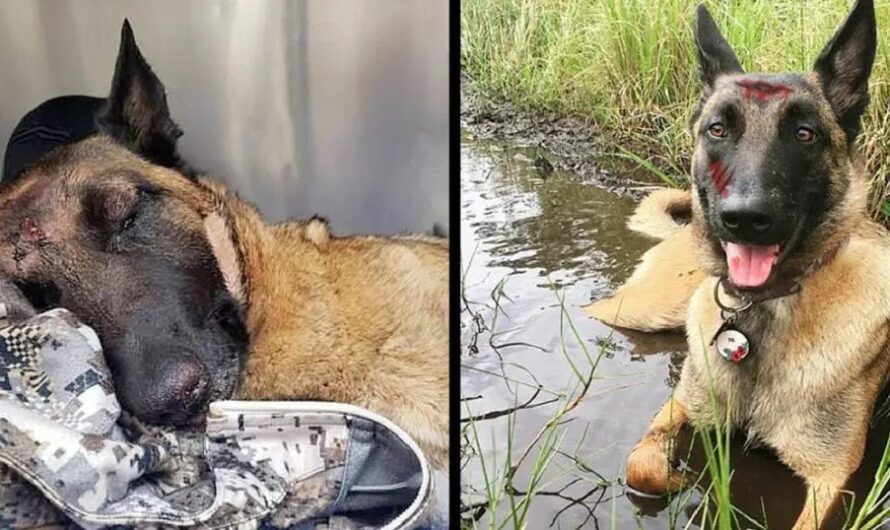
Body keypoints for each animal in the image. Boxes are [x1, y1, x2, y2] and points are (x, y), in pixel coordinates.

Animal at [588, 2, 884, 524]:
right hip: (642, 310)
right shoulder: (682, 402)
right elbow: (639, 463)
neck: (760, 313)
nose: (745, 218)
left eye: (804, 134)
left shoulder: (831, 480)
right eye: (718, 129)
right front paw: (673, 475)